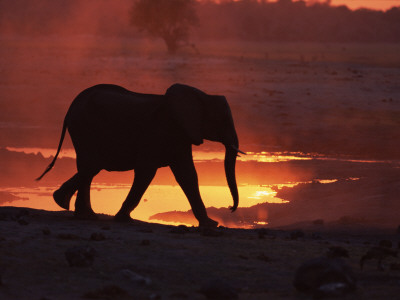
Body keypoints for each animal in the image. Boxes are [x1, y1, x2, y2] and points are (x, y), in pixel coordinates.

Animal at [37, 83, 242, 226]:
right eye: (223, 120)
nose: (231, 208)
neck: (200, 96)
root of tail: (71, 107)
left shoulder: (181, 134)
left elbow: (187, 175)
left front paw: (210, 225)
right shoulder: (159, 132)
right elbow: (146, 171)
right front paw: (123, 219)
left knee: (89, 168)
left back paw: (72, 207)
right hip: (84, 127)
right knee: (91, 166)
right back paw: (70, 206)